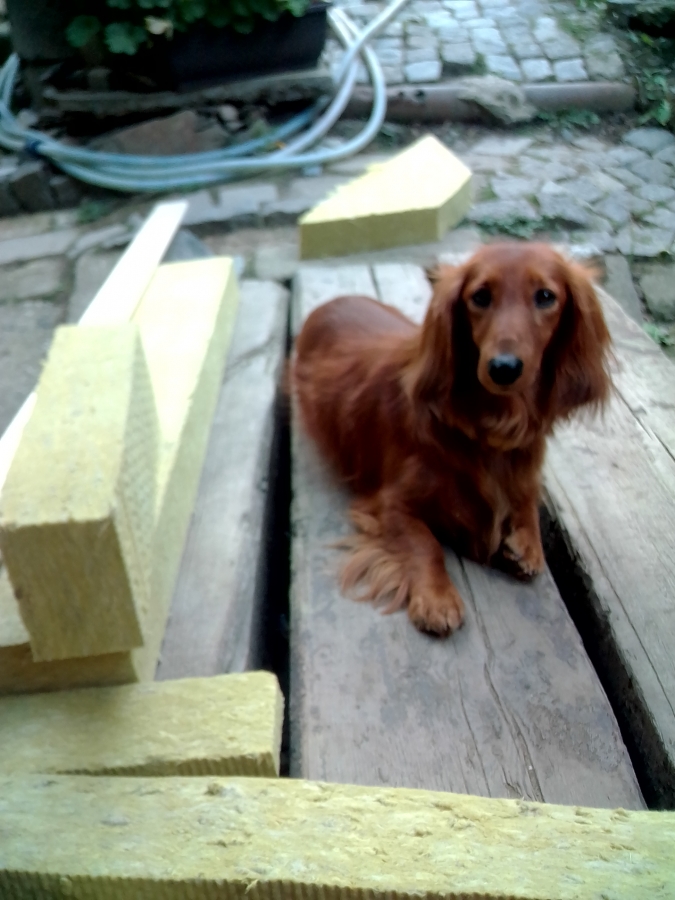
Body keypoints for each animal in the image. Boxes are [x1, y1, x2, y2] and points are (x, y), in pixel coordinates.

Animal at [292, 243, 612, 636]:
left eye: (546, 296)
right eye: (480, 296)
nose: (503, 368)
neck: (488, 426)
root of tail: (328, 304)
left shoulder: (524, 468)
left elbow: (527, 498)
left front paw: (528, 544)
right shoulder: (388, 504)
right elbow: (425, 543)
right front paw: (437, 598)